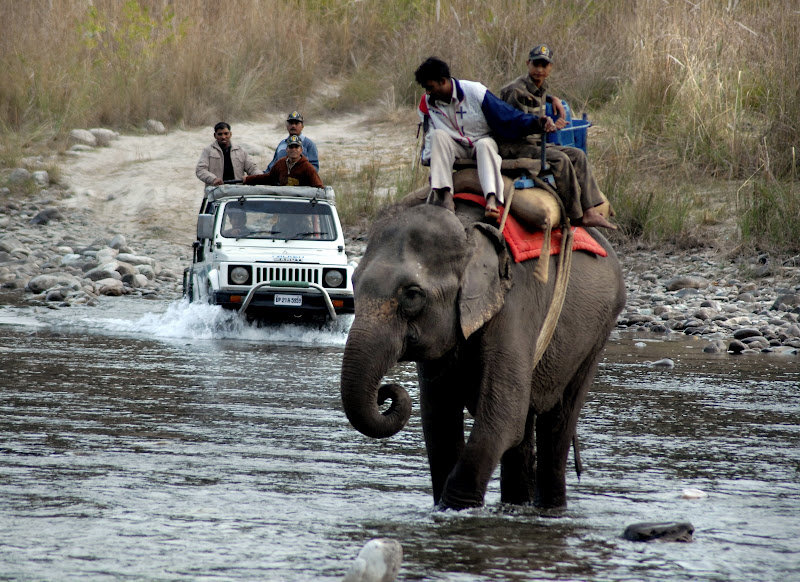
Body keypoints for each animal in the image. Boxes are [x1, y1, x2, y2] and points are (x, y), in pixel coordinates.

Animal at [338, 202, 624, 512]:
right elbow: (439, 417)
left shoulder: (514, 308)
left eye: (412, 295)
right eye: (352, 282)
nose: (384, 393)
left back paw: (550, 508)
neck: (470, 235)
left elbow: (501, 419)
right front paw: (443, 511)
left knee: (557, 421)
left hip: (597, 334)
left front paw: (457, 509)